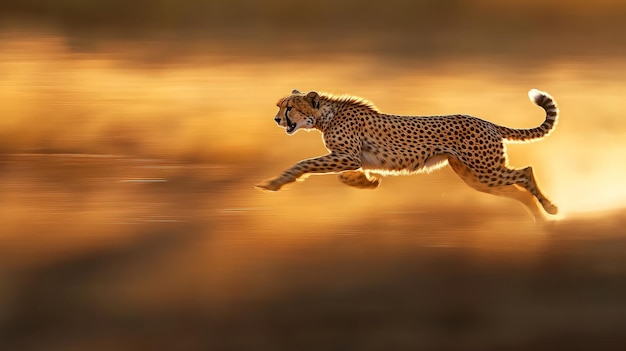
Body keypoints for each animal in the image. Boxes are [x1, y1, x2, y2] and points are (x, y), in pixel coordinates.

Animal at [256, 88, 560, 220]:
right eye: (279, 106)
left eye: (289, 108)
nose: (276, 119)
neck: (325, 115)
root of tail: (488, 122)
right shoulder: (353, 158)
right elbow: (347, 175)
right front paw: (367, 182)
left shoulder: (347, 155)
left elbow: (304, 163)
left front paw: (274, 182)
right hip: (476, 178)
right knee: (518, 190)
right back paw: (538, 217)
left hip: (485, 170)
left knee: (525, 173)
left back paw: (549, 208)